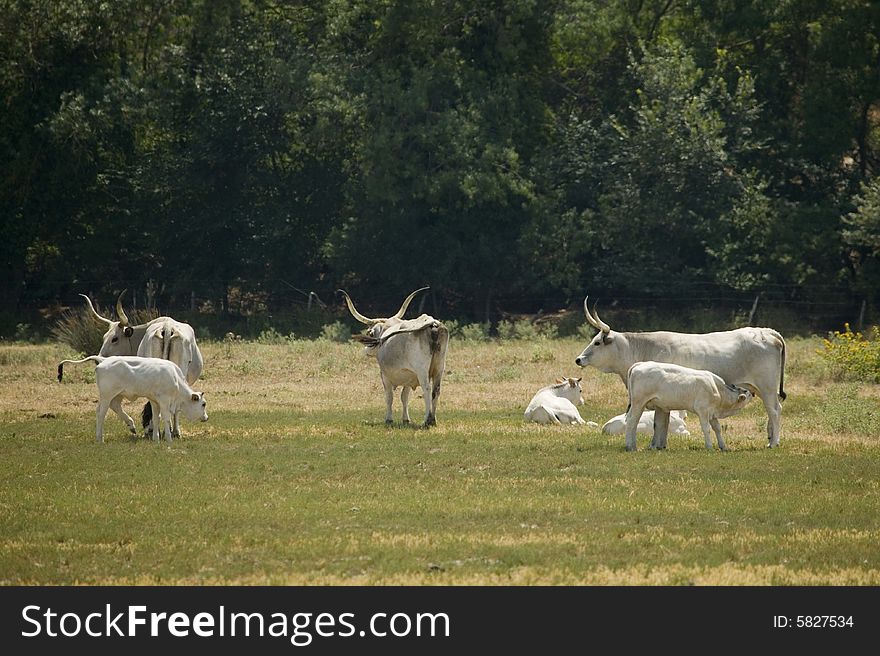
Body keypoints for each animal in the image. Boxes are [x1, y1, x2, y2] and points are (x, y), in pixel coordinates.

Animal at [55, 356, 208, 444]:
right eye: (203, 404)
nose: (206, 418)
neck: (175, 379)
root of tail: (103, 360)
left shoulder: (154, 401)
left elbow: (156, 418)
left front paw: (156, 438)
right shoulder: (164, 401)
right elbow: (166, 418)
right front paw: (169, 439)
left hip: (117, 395)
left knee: (115, 406)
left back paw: (131, 425)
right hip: (106, 395)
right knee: (101, 413)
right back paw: (100, 438)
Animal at [340, 286, 450, 428]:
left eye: (370, 333)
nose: (366, 351)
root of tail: (433, 323)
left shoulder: (385, 376)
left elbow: (389, 397)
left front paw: (388, 419)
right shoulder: (409, 375)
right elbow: (404, 397)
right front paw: (405, 419)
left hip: (422, 370)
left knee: (427, 389)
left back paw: (427, 420)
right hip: (439, 368)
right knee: (436, 390)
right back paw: (433, 420)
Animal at [624, 358, 752, 452]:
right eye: (748, 393)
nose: (753, 393)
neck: (718, 390)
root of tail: (640, 364)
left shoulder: (712, 413)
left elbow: (717, 428)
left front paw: (723, 446)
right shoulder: (703, 411)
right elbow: (706, 429)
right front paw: (709, 446)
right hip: (638, 403)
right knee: (631, 421)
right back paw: (630, 446)